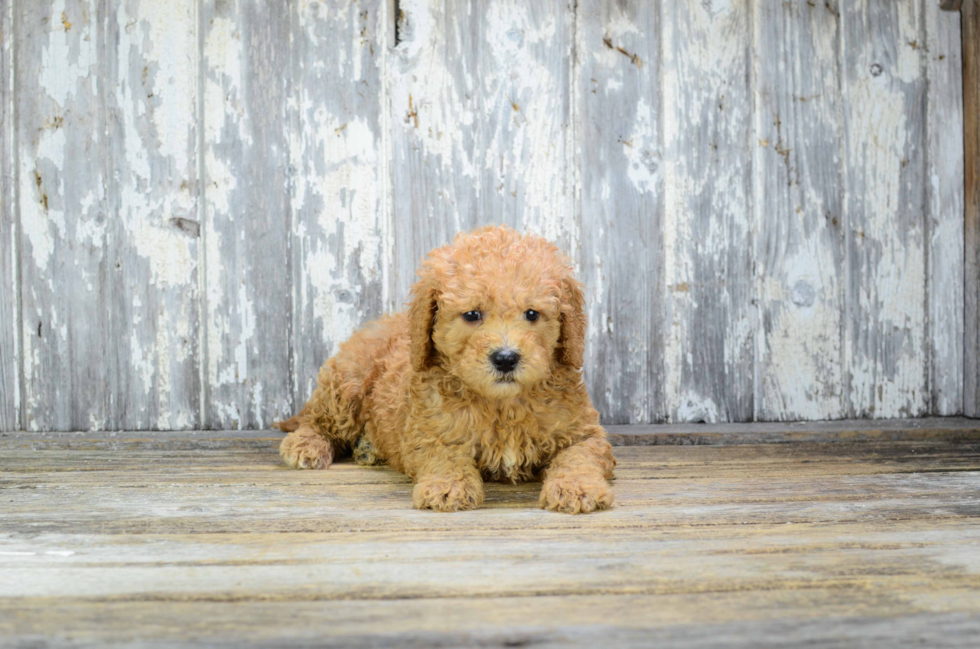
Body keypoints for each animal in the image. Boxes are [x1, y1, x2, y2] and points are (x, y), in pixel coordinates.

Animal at [276, 225, 612, 512]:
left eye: (532, 314)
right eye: (472, 314)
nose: (505, 358)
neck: (502, 405)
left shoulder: (583, 432)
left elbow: (579, 456)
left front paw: (578, 488)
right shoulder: (428, 429)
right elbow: (444, 454)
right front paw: (447, 486)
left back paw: (368, 448)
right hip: (347, 383)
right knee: (317, 420)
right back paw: (306, 445)